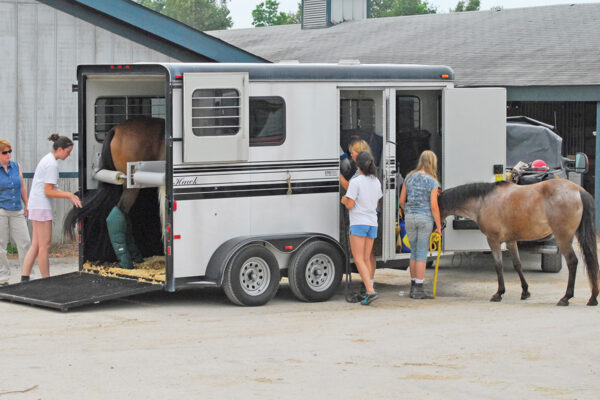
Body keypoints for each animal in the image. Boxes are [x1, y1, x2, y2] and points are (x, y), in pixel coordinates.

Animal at [65, 117, 166, 268]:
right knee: (120, 211)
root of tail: (116, 129)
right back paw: (126, 262)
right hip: (132, 186)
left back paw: (135, 257)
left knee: (123, 215)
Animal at [436, 180, 600, 308]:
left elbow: (498, 265)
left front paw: (499, 293)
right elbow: (517, 265)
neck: (484, 201)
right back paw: (593, 297)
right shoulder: (511, 241)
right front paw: (525, 291)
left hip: (563, 238)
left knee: (572, 262)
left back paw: (566, 297)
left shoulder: (493, 240)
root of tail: (578, 190)